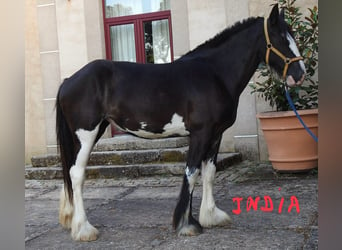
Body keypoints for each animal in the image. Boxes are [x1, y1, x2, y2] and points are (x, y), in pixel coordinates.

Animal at [55, 4, 304, 241]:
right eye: (282, 39)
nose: (299, 74)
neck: (214, 74)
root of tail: (68, 80)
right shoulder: (200, 134)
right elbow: (191, 173)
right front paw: (186, 224)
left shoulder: (216, 135)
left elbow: (209, 173)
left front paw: (211, 216)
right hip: (86, 133)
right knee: (77, 173)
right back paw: (84, 229)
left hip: (93, 131)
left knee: (70, 171)